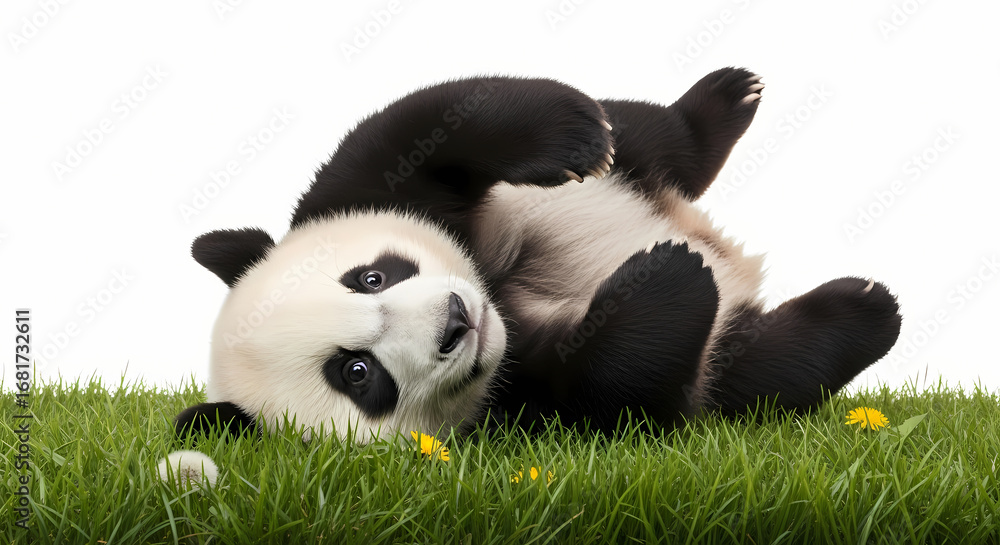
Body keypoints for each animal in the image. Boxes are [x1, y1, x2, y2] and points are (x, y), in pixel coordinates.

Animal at [173, 67, 902, 445]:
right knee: (754, 370)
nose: (457, 321)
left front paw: (570, 140)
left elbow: (429, 122)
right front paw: (669, 274)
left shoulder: (359, 189)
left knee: (648, 134)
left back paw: (722, 100)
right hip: (735, 363)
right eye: (356, 373)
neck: (502, 300)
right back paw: (864, 309)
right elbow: (614, 396)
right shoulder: (516, 411)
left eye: (371, 276)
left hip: (632, 164)